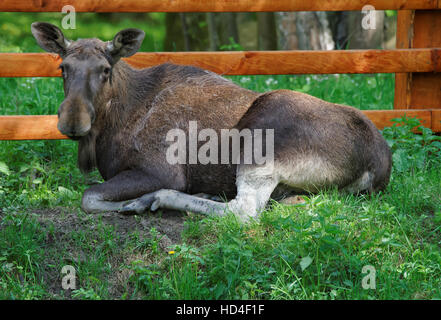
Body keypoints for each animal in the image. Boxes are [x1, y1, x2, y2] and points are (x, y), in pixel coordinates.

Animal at [31, 22, 390, 221]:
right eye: (62, 67)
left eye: (105, 69)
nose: (73, 121)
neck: (111, 127)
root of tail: (378, 164)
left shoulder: (161, 169)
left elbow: (88, 196)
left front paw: (131, 203)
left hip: (262, 136)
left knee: (244, 211)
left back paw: (157, 199)